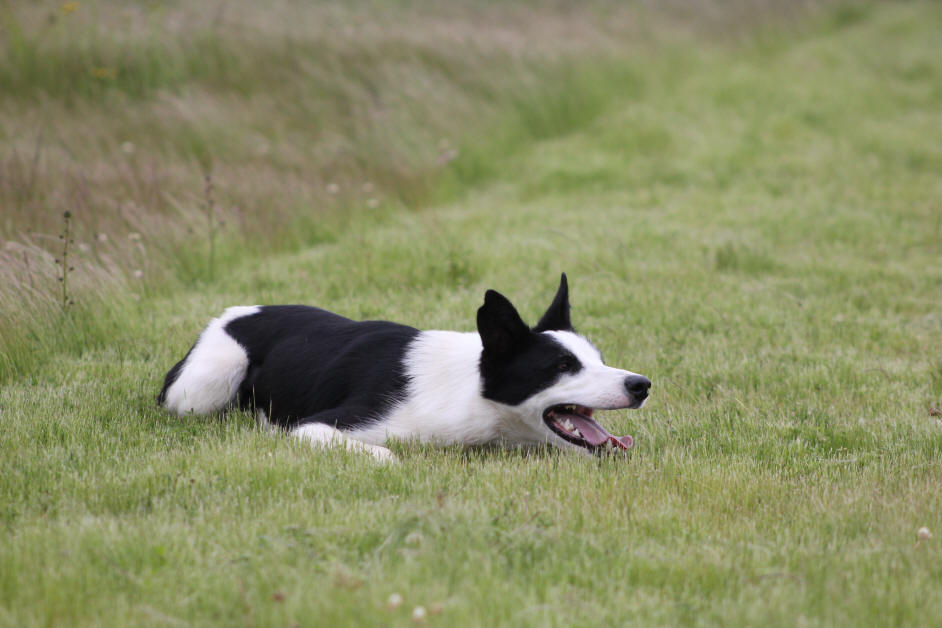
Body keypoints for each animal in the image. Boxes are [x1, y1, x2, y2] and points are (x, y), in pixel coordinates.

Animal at [159, 274, 652, 462]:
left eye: (599, 359)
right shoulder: (311, 428)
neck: (472, 392)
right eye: (563, 365)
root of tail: (230, 314)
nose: (641, 384)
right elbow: (387, 456)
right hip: (204, 386)